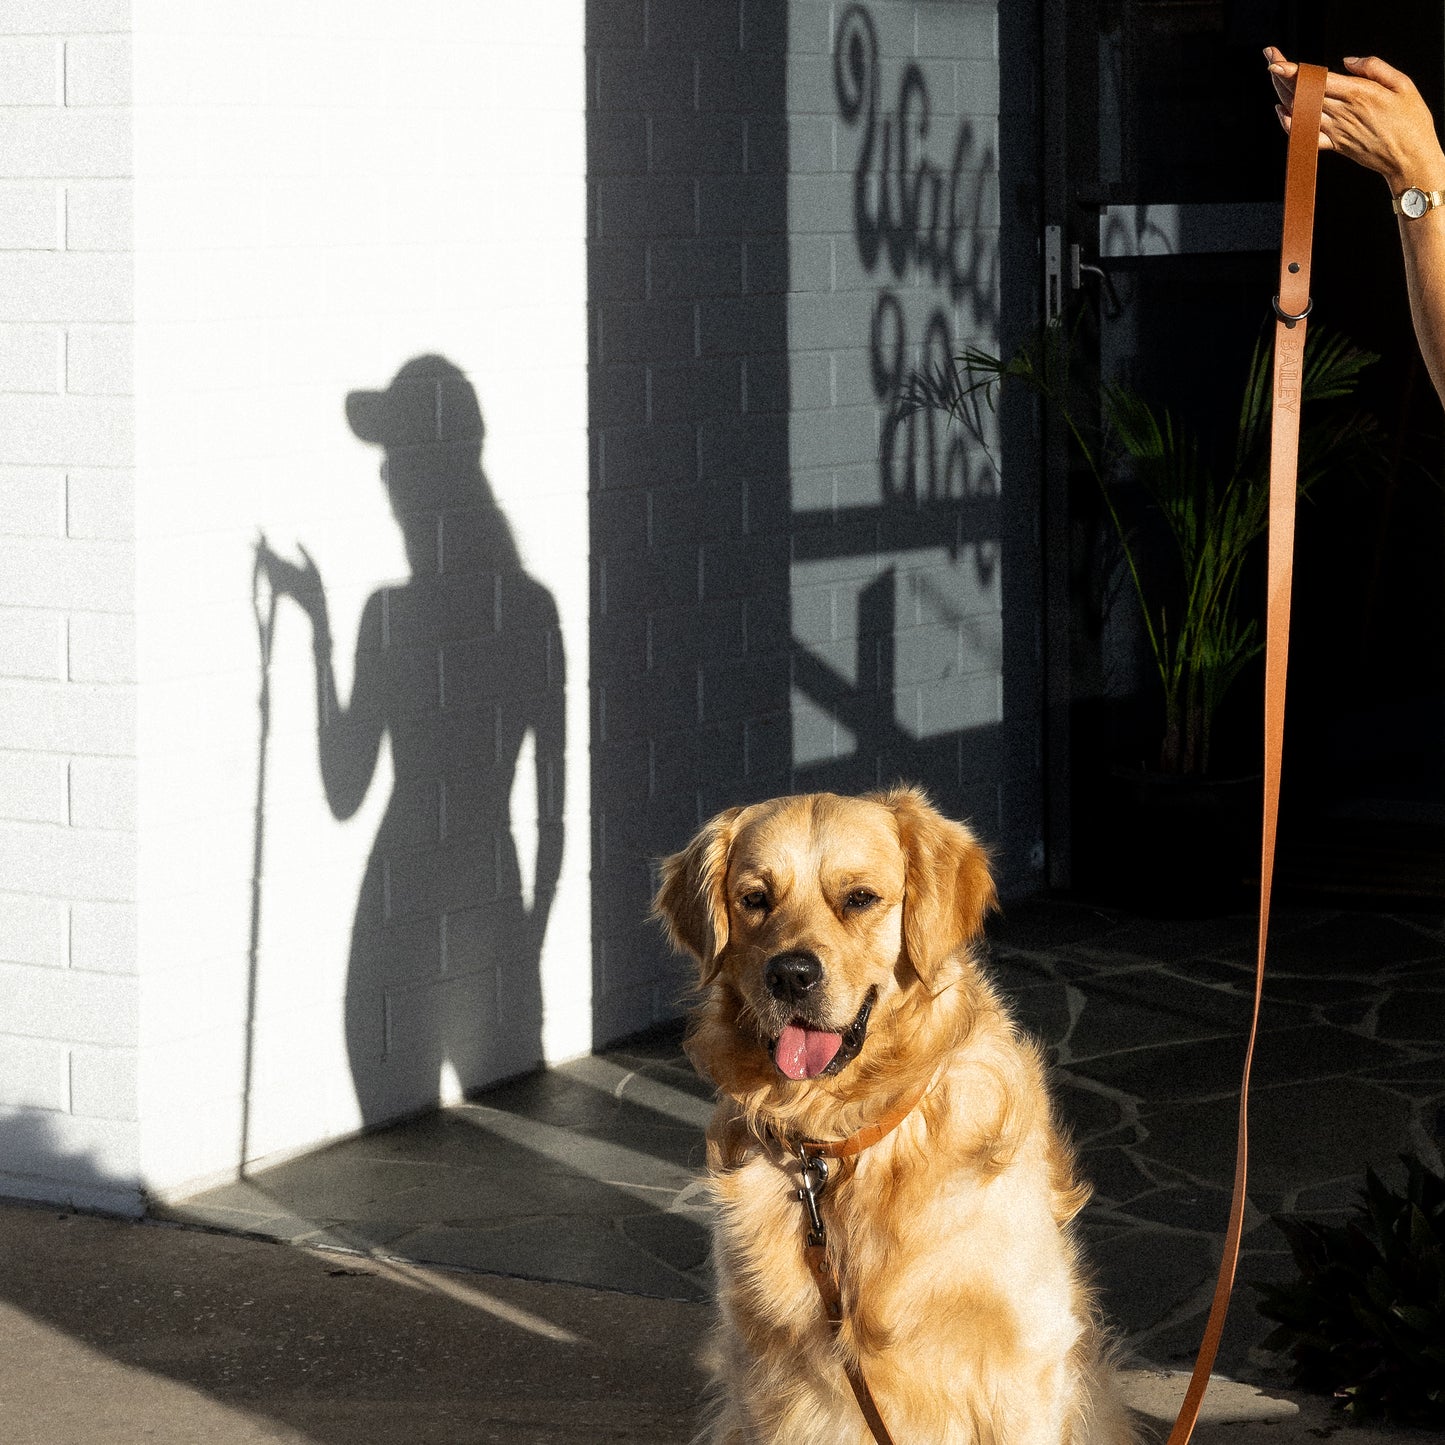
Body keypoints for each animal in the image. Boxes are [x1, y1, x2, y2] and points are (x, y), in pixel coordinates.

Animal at [656, 791, 1138, 1445]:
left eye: (859, 898)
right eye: (755, 900)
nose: (790, 975)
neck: (843, 1141)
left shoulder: (1024, 1359)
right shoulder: (765, 1378)